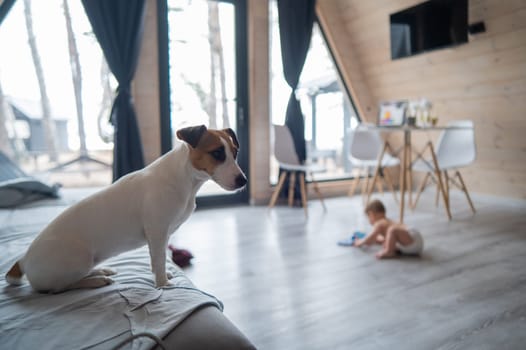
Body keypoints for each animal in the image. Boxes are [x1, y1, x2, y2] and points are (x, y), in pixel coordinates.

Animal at [5, 126, 248, 292]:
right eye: (217, 153)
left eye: (235, 152)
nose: (243, 181)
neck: (185, 178)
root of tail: (23, 260)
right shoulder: (157, 232)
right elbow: (159, 260)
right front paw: (162, 285)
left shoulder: (162, 235)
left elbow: (157, 259)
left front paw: (161, 277)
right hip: (77, 260)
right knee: (60, 288)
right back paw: (95, 280)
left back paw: (99, 270)